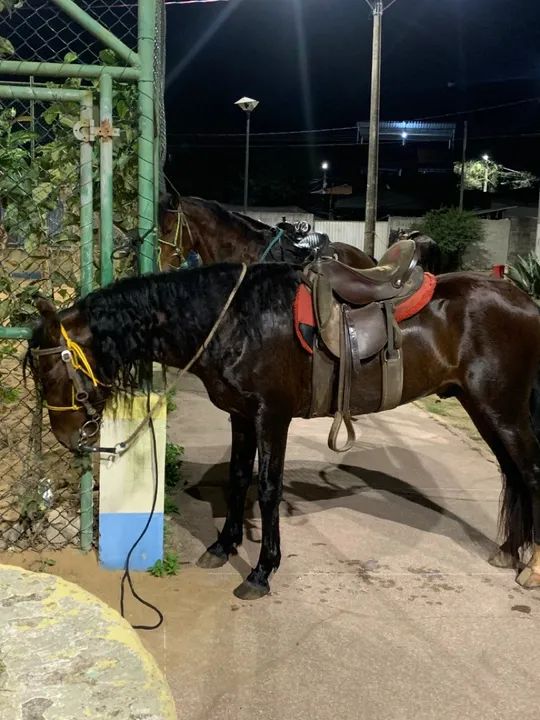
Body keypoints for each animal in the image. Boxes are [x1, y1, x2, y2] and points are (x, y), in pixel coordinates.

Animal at [25, 261, 540, 600]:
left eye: (51, 373)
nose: (69, 439)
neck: (237, 320)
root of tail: (525, 301)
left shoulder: (272, 416)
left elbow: (268, 488)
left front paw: (261, 571)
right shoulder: (239, 416)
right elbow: (238, 479)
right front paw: (223, 545)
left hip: (500, 408)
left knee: (529, 474)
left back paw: (531, 566)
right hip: (483, 408)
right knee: (513, 473)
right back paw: (508, 551)